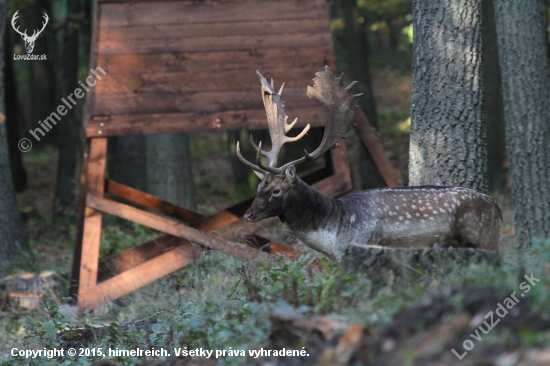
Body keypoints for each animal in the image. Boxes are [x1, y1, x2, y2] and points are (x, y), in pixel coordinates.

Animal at [237, 66, 504, 260]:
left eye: (276, 190)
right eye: (258, 187)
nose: (248, 214)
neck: (335, 233)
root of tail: (498, 208)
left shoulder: (362, 246)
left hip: (483, 240)